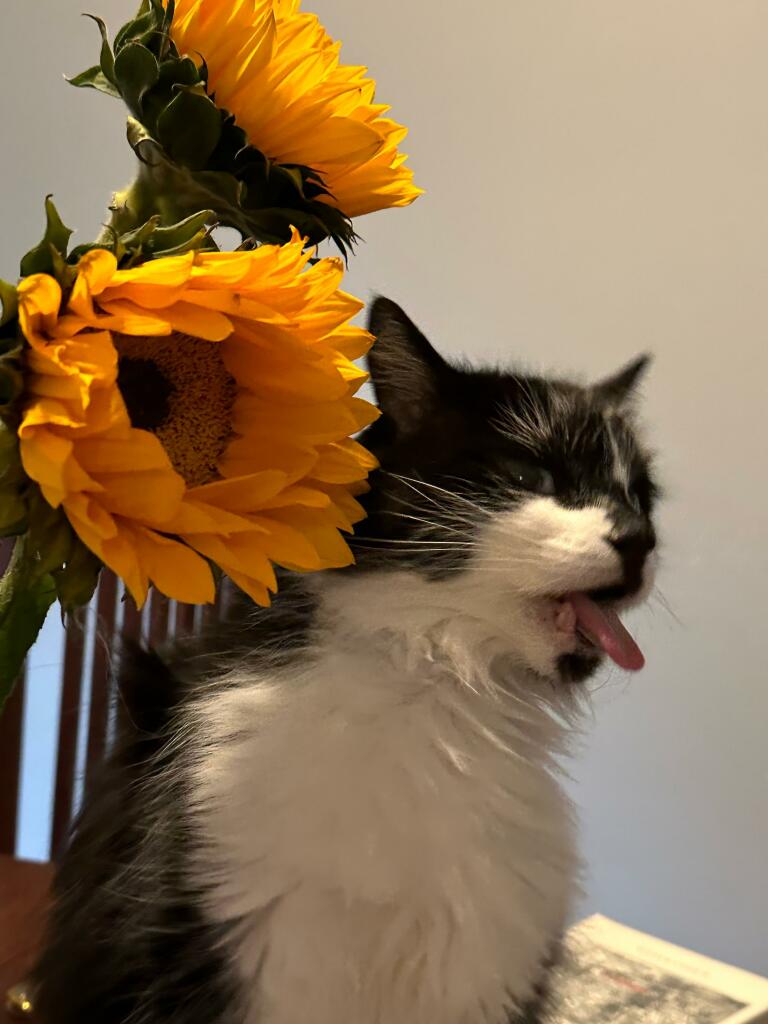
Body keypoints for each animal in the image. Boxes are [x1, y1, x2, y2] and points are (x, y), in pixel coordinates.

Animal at [33, 296, 663, 1024]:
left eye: (642, 499)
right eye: (531, 476)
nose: (640, 540)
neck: (442, 684)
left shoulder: (482, 962)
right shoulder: (261, 946)